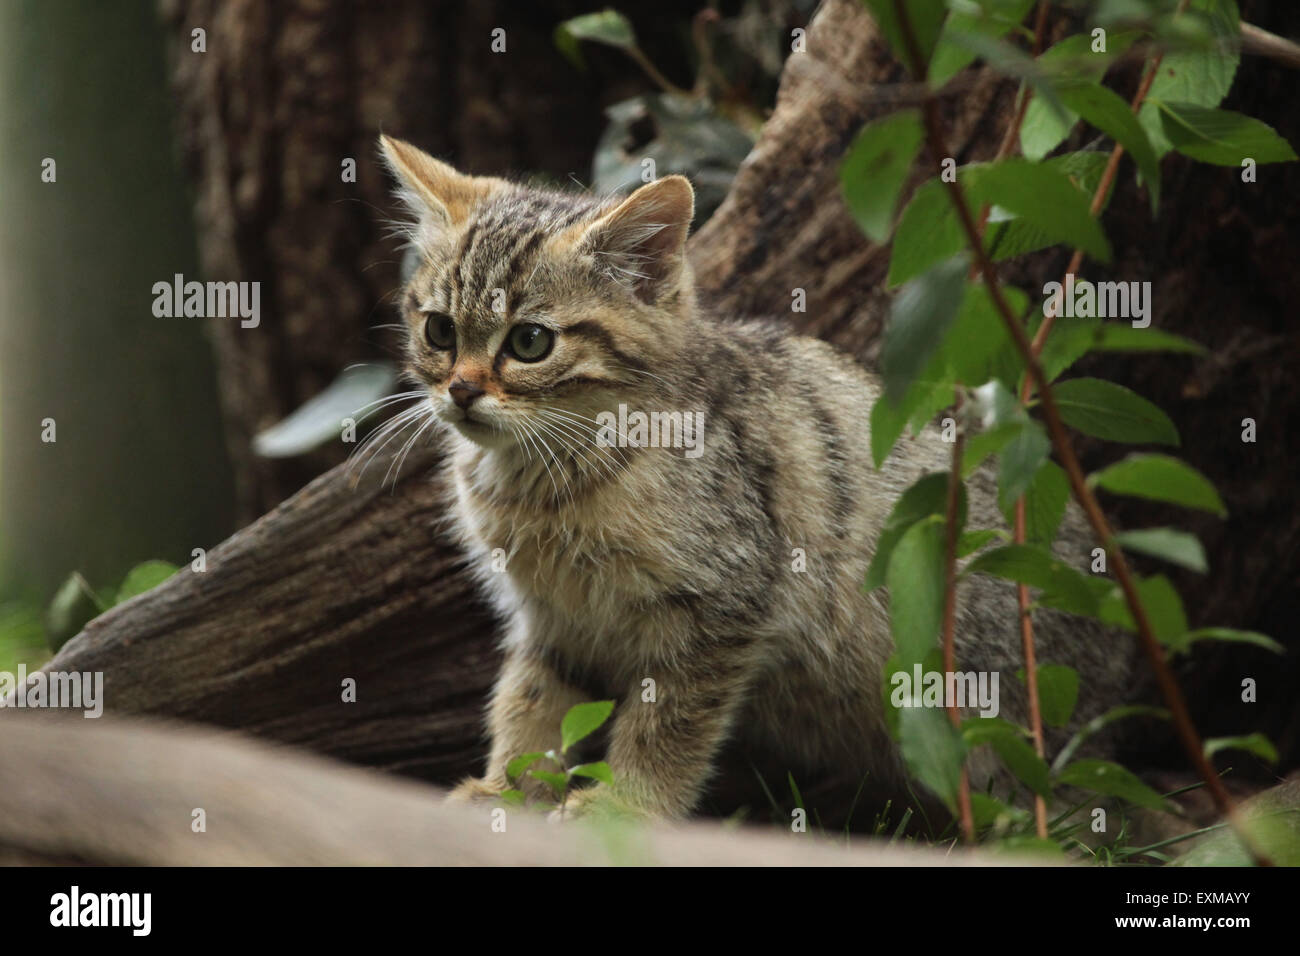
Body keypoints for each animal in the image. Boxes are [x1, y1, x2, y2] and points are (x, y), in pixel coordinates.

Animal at [377, 134, 1138, 822]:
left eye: (530, 342)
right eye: (440, 331)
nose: (461, 391)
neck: (544, 473)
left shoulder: (723, 603)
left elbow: (666, 725)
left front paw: (627, 806)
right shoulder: (552, 618)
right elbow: (530, 699)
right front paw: (509, 787)